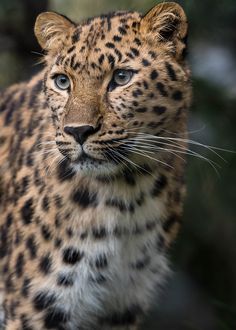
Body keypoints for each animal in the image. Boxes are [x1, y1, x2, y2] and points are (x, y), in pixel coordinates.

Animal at [0, 1, 192, 328]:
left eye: (122, 77)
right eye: (62, 82)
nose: (77, 131)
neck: (128, 198)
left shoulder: (121, 304)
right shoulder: (33, 308)